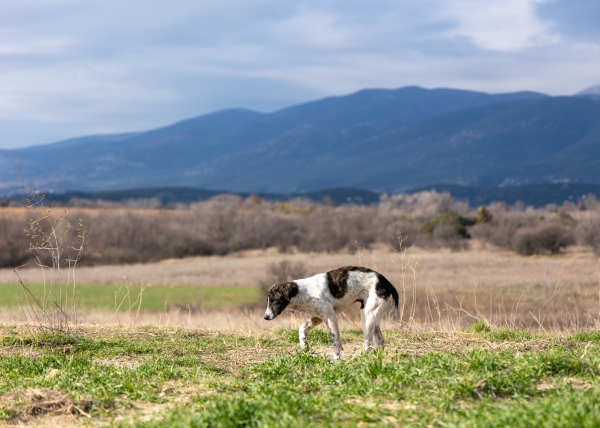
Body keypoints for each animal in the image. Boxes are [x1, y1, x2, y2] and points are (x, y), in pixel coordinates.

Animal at [262, 266, 398, 360]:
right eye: (268, 301)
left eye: (274, 300)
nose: (266, 317)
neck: (303, 292)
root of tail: (388, 284)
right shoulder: (317, 317)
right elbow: (301, 328)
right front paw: (304, 345)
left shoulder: (331, 317)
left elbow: (335, 341)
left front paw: (336, 358)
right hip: (372, 317)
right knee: (380, 341)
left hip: (368, 317)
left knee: (368, 343)